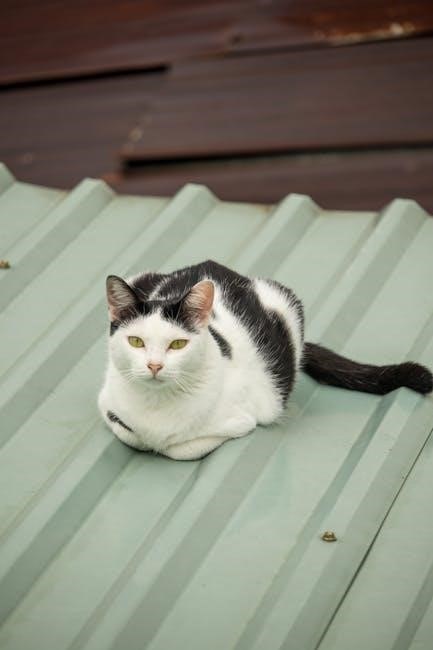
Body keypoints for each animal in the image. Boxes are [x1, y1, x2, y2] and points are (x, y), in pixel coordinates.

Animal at [98, 260, 432, 460]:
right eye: (136, 341)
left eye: (178, 344)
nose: (154, 366)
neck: (157, 405)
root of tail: (210, 265)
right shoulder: (106, 402)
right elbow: (130, 432)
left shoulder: (246, 417)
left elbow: (179, 447)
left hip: (287, 303)